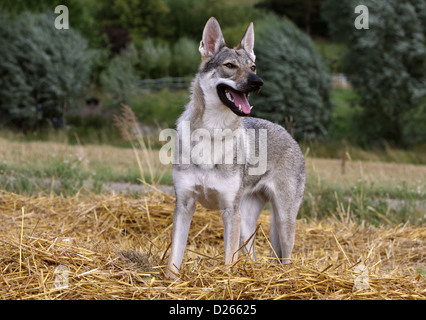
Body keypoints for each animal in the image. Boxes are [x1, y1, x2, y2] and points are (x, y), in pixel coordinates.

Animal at [165, 16, 304, 278]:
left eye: (253, 67)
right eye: (230, 65)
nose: (258, 83)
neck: (212, 133)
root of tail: (289, 134)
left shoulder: (230, 211)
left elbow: (229, 260)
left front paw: (227, 281)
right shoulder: (184, 205)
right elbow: (173, 259)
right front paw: (169, 282)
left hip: (282, 221)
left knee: (286, 259)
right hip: (247, 223)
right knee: (253, 255)